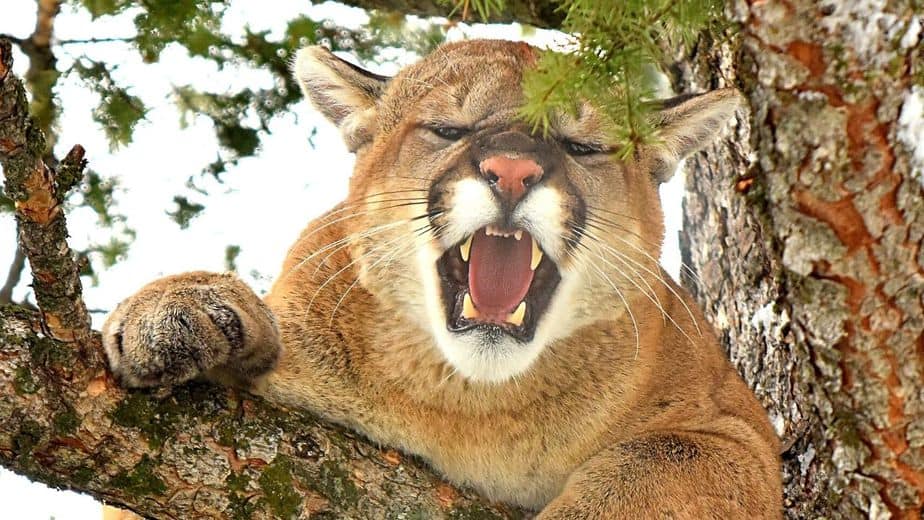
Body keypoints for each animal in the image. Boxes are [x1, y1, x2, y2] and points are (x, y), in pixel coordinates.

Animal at [102, 39, 782, 517]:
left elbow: (654, 461)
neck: (469, 401)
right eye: (448, 130)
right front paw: (181, 311)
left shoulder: (738, 434)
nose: (512, 171)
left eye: (581, 145)